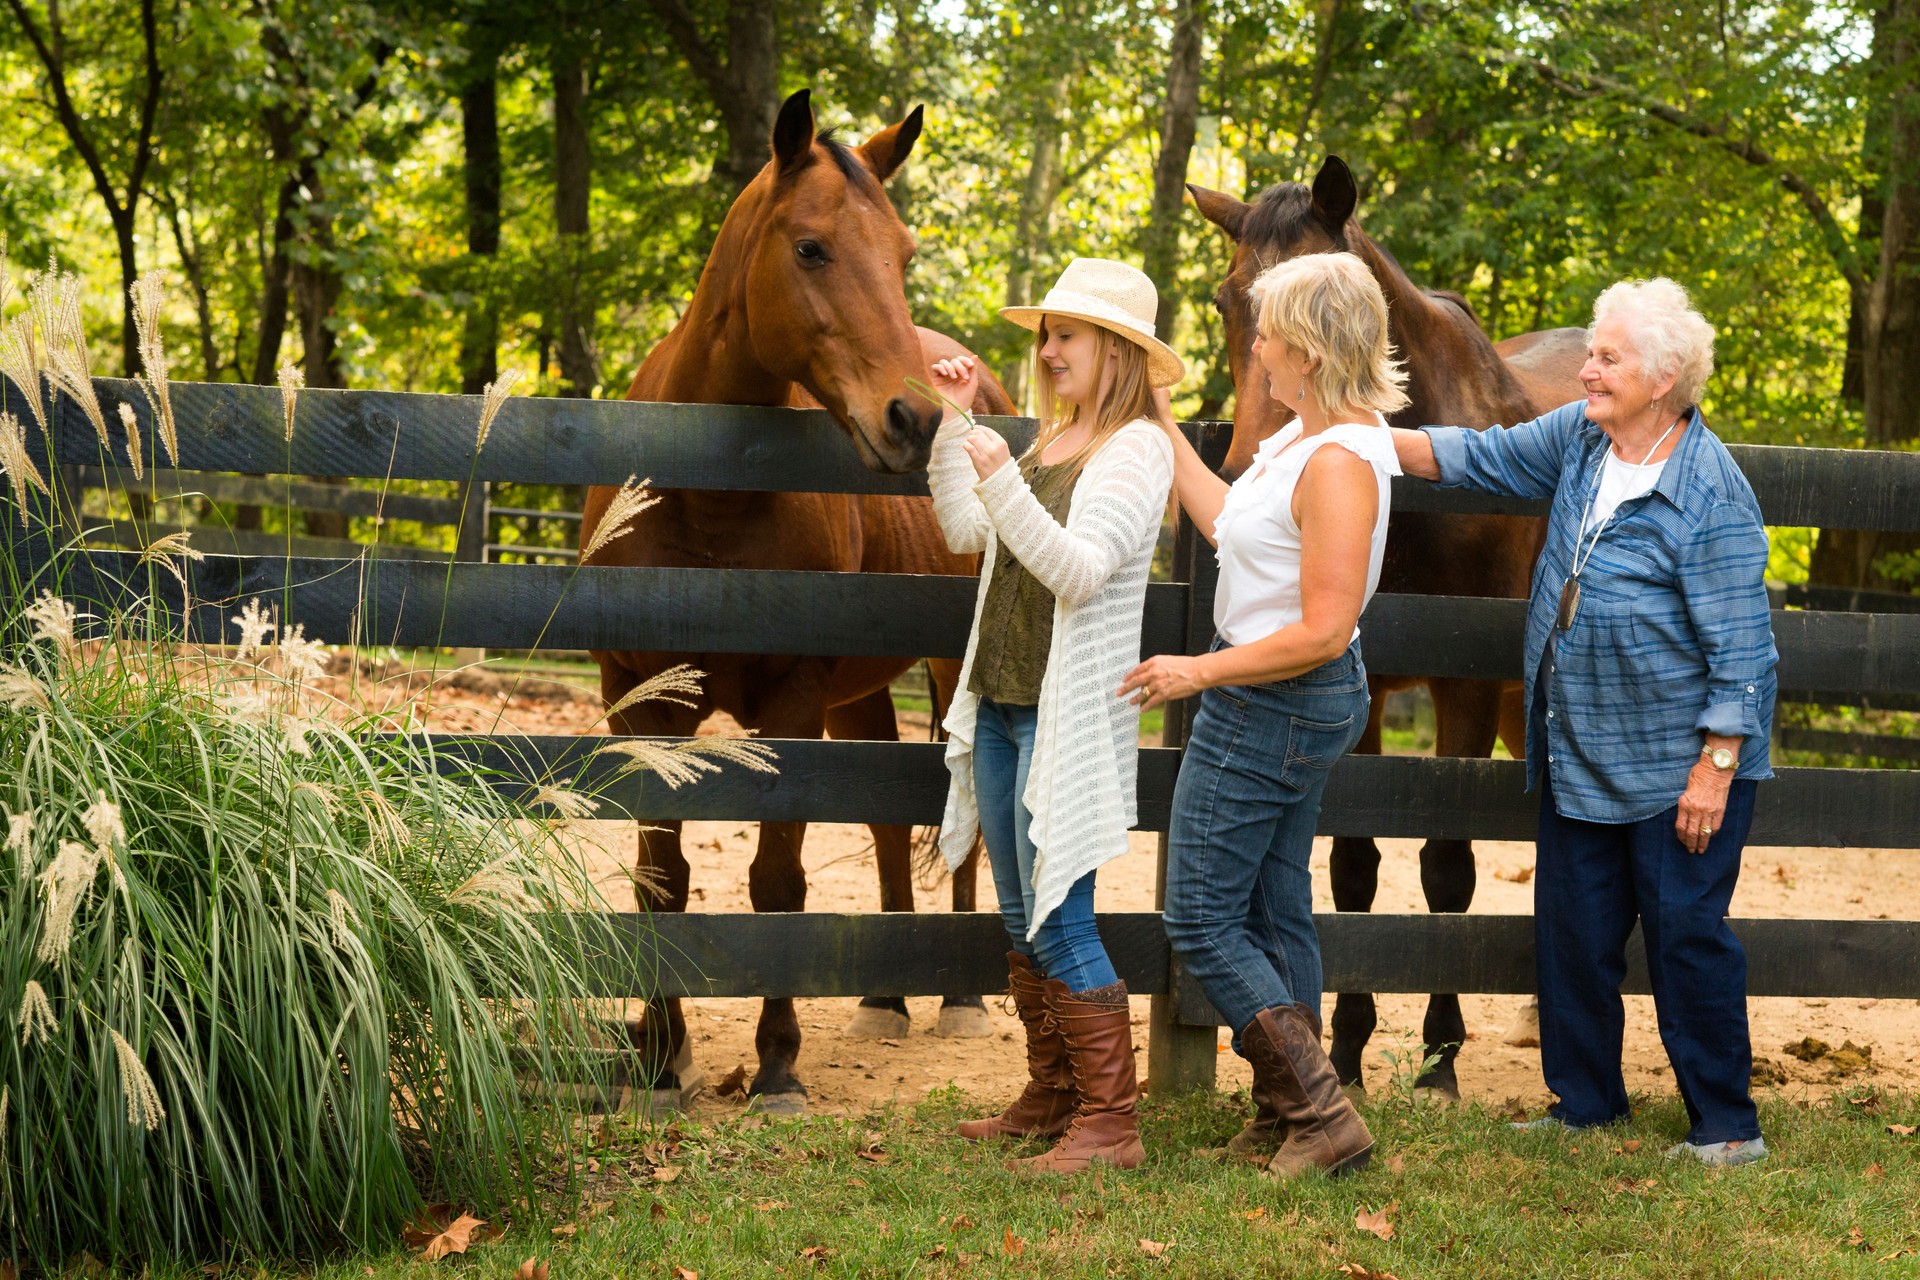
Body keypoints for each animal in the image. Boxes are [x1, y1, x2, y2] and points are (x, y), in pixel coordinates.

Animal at [579, 90, 1021, 1113]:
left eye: (902, 255)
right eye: (812, 247)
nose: (915, 419)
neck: (710, 493)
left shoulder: (790, 700)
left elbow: (776, 878)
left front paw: (776, 1062)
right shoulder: (642, 700)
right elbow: (659, 877)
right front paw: (662, 1057)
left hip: (946, 670)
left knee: (962, 822)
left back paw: (960, 996)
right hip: (860, 694)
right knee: (890, 823)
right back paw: (886, 995)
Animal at [1182, 155, 1589, 1097]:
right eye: (1226, 301)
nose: (1251, 461)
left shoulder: (1462, 687)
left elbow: (1446, 864)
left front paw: (1439, 1062)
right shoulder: (1363, 695)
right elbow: (1354, 868)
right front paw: (1346, 1052)